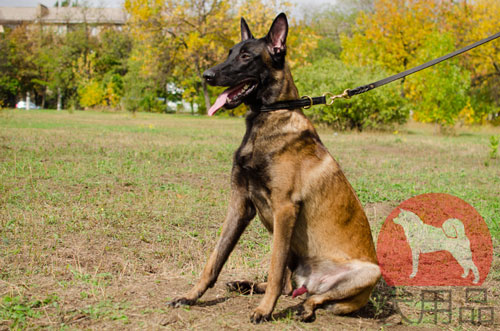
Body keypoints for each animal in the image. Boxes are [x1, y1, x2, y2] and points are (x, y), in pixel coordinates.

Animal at [167, 13, 378, 324]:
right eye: (230, 52)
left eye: (246, 56)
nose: (206, 75)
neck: (267, 119)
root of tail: (312, 282)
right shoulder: (240, 204)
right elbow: (214, 259)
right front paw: (191, 296)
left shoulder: (284, 208)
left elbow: (275, 268)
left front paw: (265, 310)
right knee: (291, 285)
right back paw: (246, 285)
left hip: (369, 272)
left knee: (312, 296)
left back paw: (304, 308)